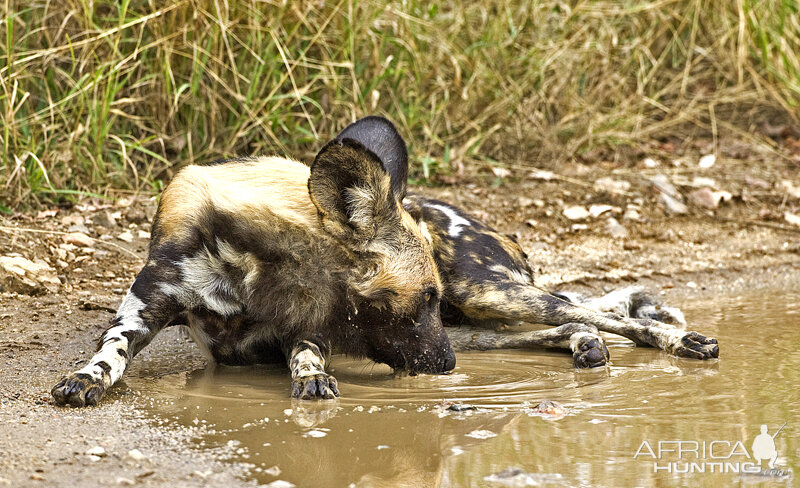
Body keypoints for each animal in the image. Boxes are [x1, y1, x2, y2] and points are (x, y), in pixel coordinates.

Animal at [50, 116, 716, 406]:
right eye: (419, 298)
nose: (446, 368)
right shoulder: (151, 307)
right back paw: (585, 347)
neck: (255, 269)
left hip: (482, 300)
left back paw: (680, 342)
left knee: (599, 313)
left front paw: (311, 377)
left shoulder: (308, 328)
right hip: (470, 325)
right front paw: (87, 377)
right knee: (568, 322)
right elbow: (112, 349)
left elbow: (306, 353)